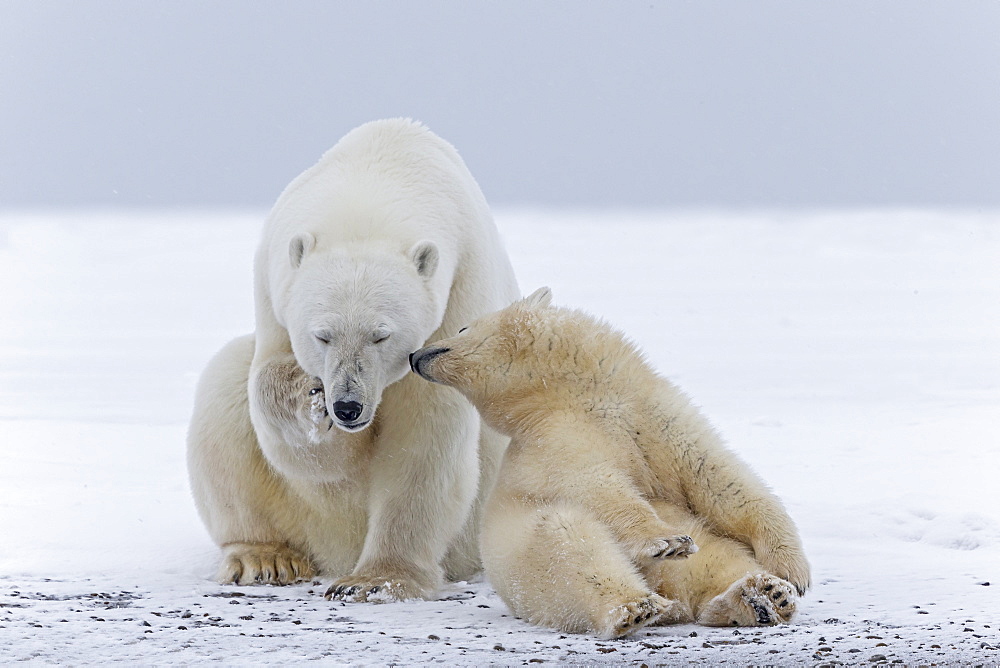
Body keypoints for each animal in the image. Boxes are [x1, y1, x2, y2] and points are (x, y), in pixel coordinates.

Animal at [185, 117, 520, 604]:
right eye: (321, 335)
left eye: (381, 335)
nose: (347, 406)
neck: (374, 177)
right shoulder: (273, 288)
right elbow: (288, 431)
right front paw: (310, 401)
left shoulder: (457, 294)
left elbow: (423, 440)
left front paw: (377, 580)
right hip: (299, 510)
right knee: (225, 385)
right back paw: (264, 558)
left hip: (473, 532)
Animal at [412, 288, 812, 636]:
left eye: (463, 328)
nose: (416, 357)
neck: (579, 390)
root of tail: (671, 596)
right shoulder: (555, 438)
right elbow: (598, 485)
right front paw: (668, 542)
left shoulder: (653, 416)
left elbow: (718, 480)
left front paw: (793, 571)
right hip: (525, 565)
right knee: (569, 544)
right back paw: (636, 607)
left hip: (704, 546)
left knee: (718, 561)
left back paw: (764, 596)